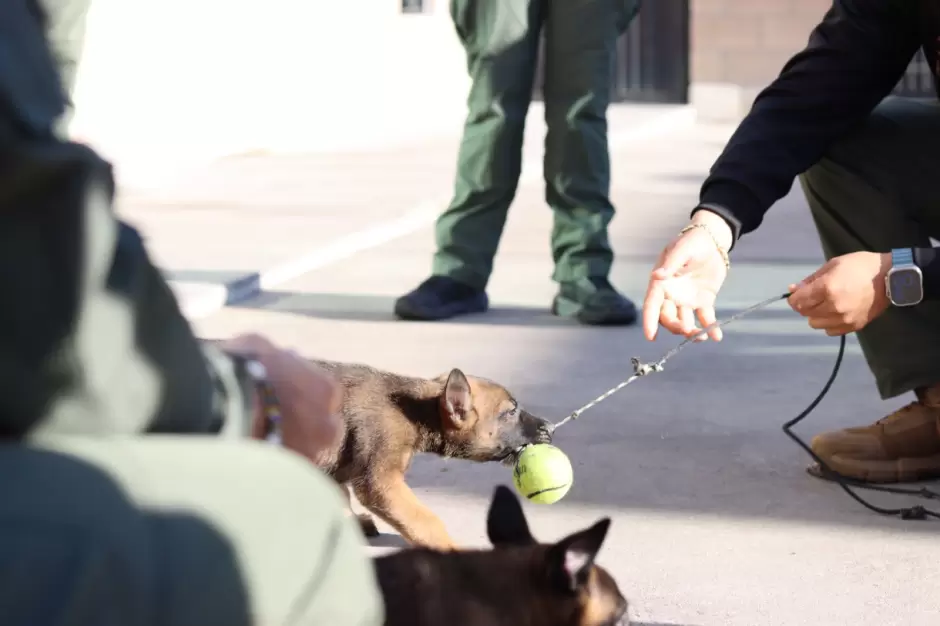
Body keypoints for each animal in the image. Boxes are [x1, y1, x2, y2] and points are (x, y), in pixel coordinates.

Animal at [312, 360, 556, 544]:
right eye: (511, 412)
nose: (551, 427)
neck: (416, 412)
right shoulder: (381, 482)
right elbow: (427, 521)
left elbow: (340, 494)